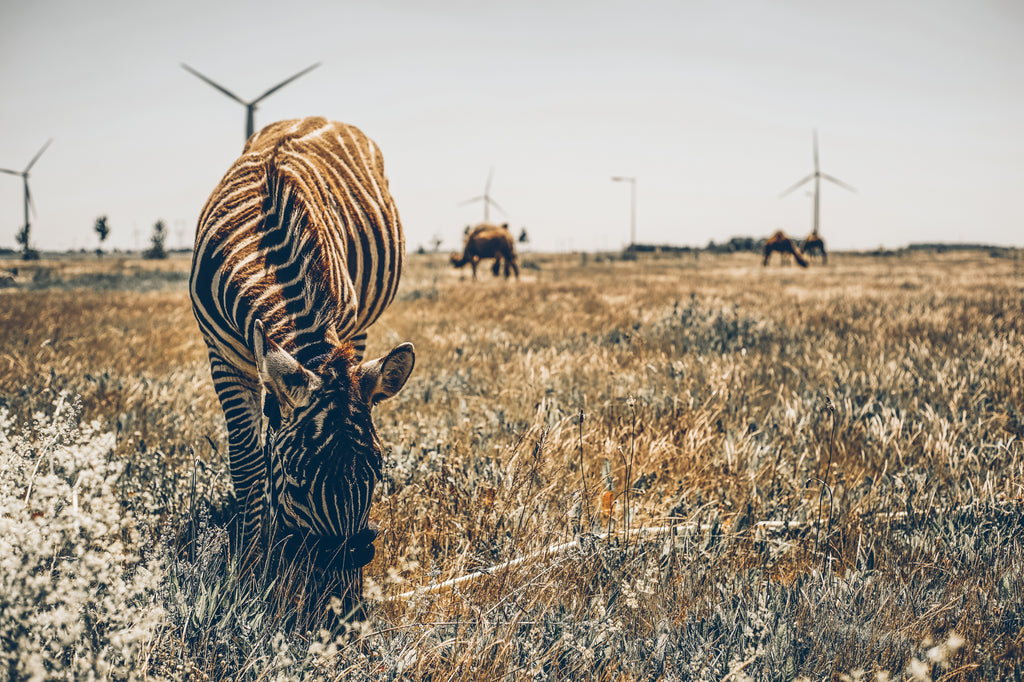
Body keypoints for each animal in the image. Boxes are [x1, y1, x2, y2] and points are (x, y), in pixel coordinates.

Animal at [190, 116, 413, 610]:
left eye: (378, 470)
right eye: (296, 479)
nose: (342, 604)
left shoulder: (343, 331)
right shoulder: (224, 360)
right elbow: (247, 463)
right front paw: (249, 565)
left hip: (360, 330)